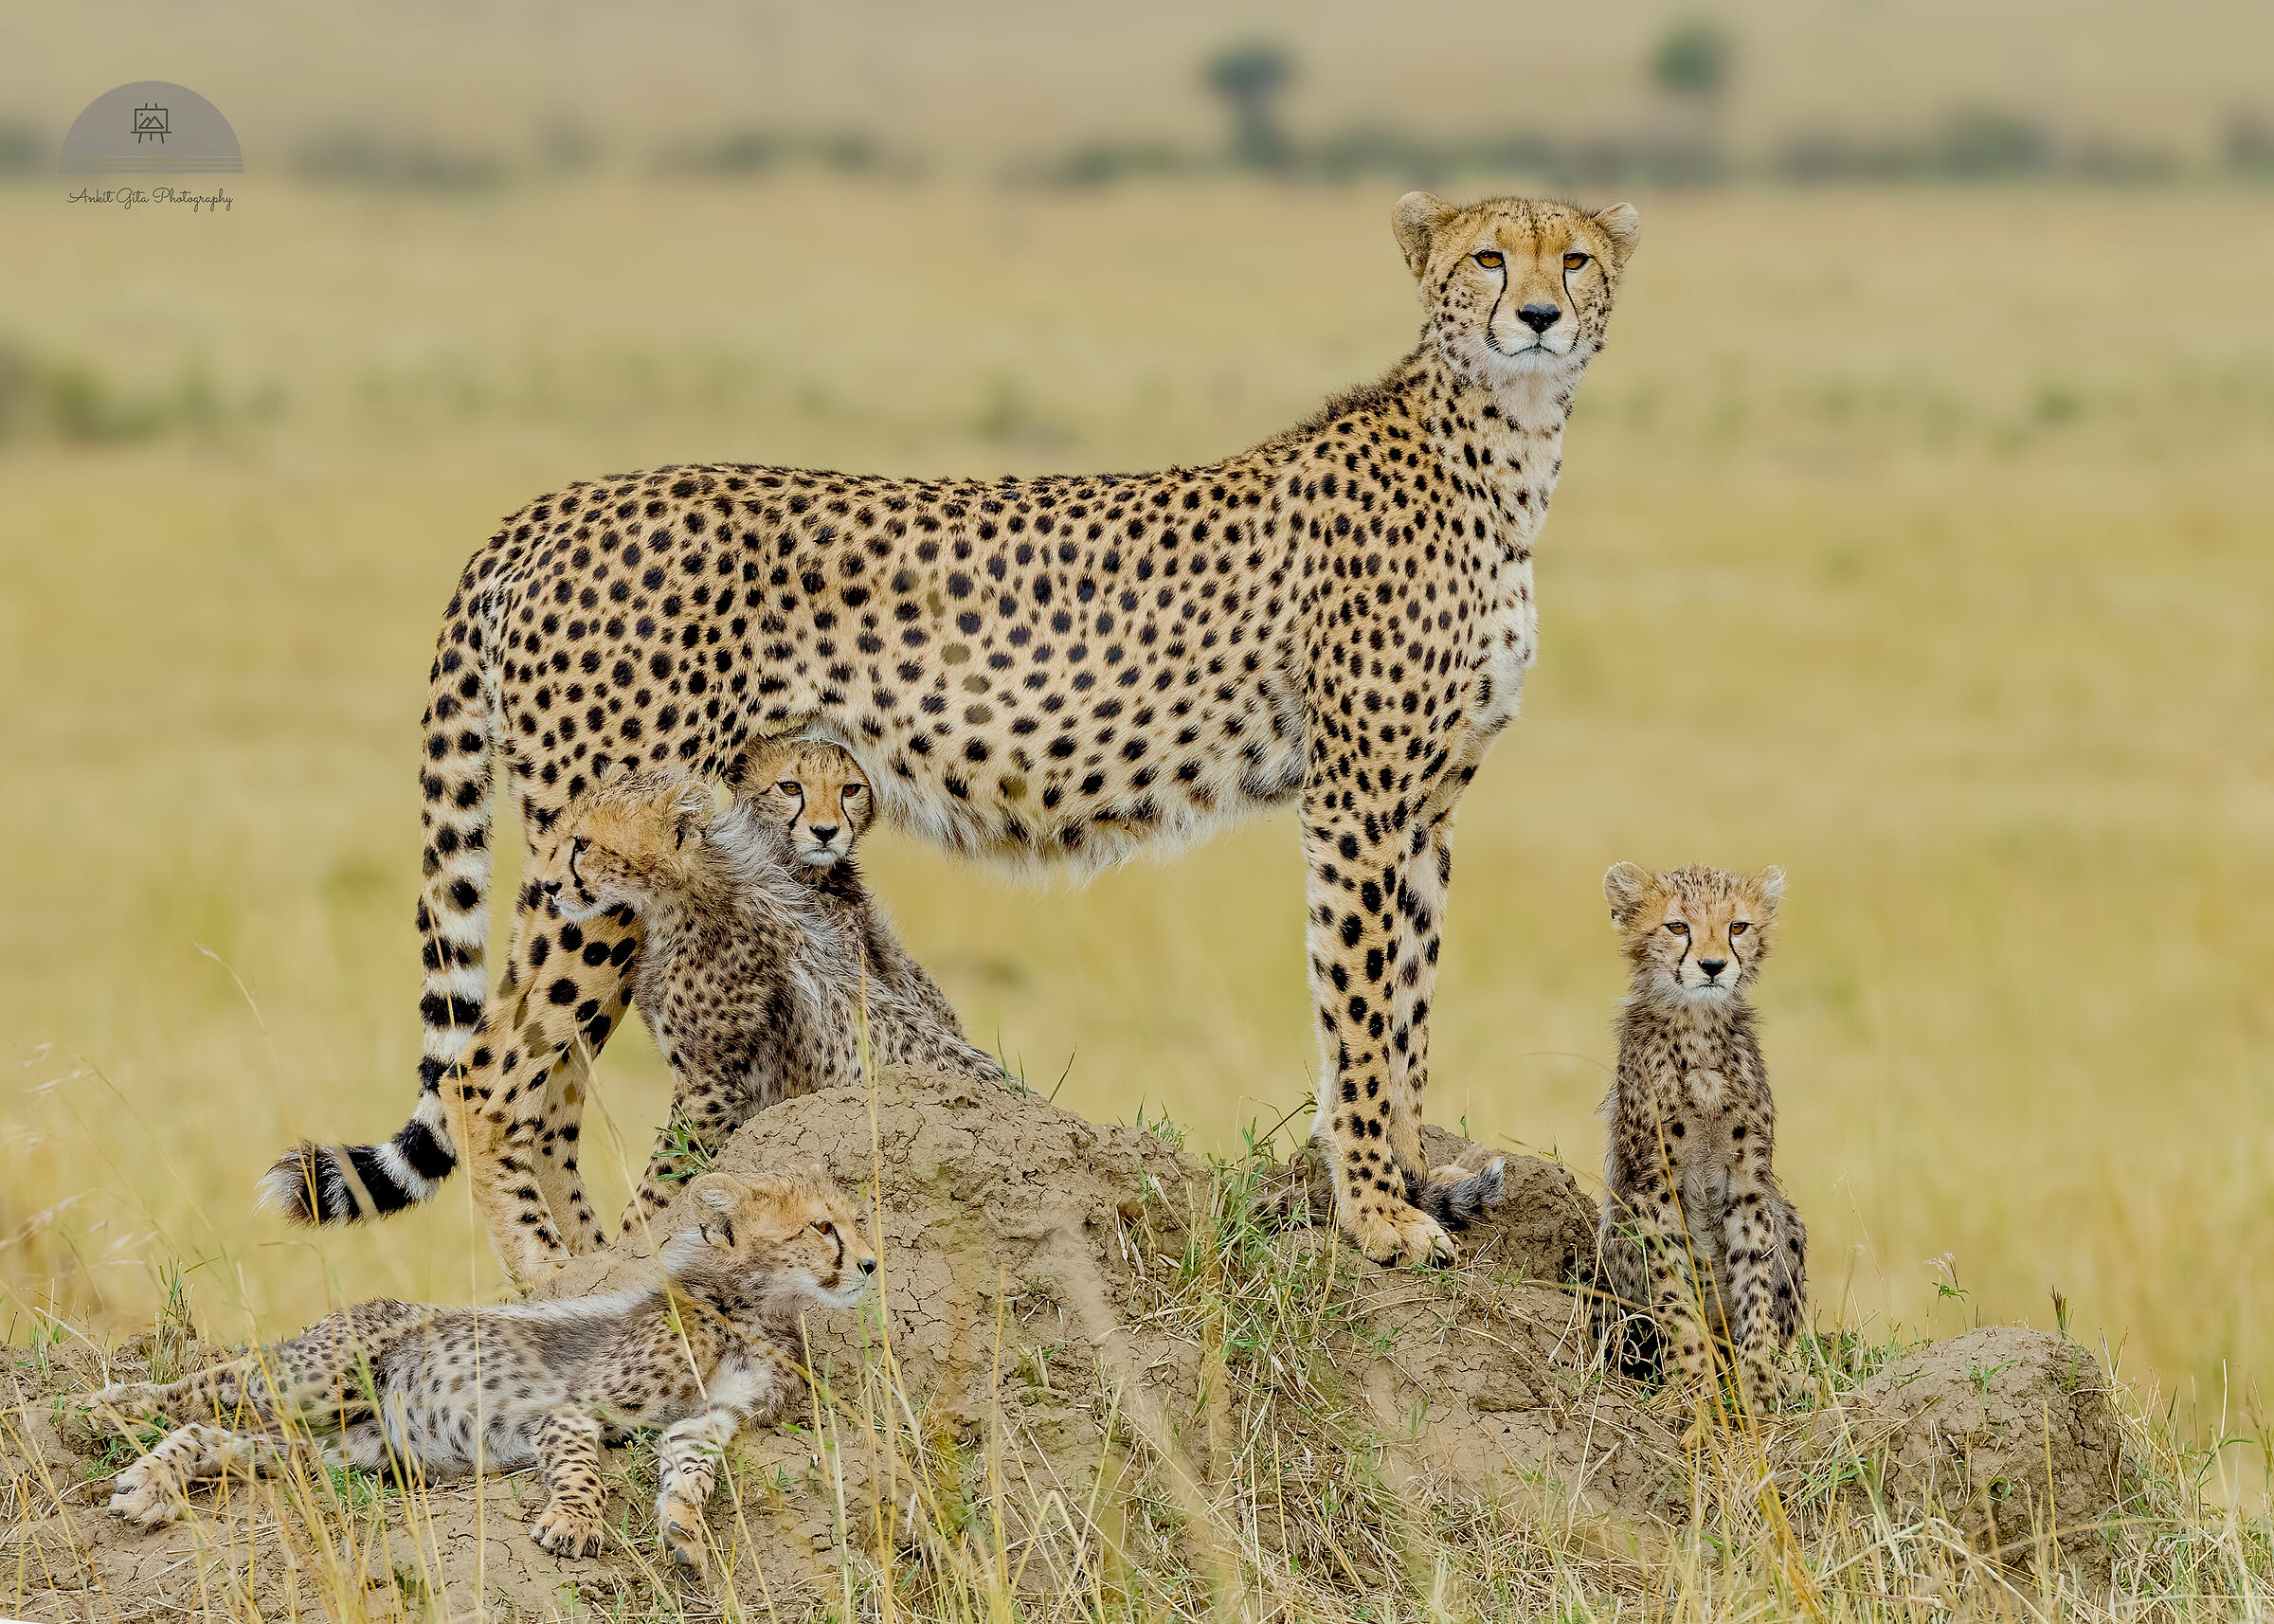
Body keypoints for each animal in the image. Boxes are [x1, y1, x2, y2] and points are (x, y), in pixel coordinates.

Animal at [89, 1169, 874, 1571]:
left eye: (859, 1222)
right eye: (822, 1228)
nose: (870, 1264)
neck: (755, 1303)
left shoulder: (706, 1419)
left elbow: (693, 1466)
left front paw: (682, 1525)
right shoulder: (573, 1407)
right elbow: (583, 1462)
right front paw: (573, 1521)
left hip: (351, 1450)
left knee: (222, 1438)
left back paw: (152, 1481)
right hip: (318, 1376)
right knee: (215, 1385)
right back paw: (115, 1405)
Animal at [288, 191, 1639, 1271]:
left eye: (1573, 257)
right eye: (1486, 256)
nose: (1535, 316)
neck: (1502, 450)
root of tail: (551, 505)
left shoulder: (1426, 805)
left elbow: (1407, 1008)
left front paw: (1418, 1176)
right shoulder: (1356, 801)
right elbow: (1358, 1012)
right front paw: (1377, 1215)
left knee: (539, 1073)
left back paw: (588, 1266)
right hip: (605, 849)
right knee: (493, 1072)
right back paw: (558, 1280)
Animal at [1591, 862, 1809, 1417]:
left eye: (1738, 926)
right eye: (1677, 927)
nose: (1712, 965)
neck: (1699, 1026)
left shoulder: (1749, 1185)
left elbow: (1755, 1282)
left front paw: (1758, 1385)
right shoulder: (1653, 1188)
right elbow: (1676, 1297)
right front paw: (1692, 1385)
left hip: (1790, 1220)